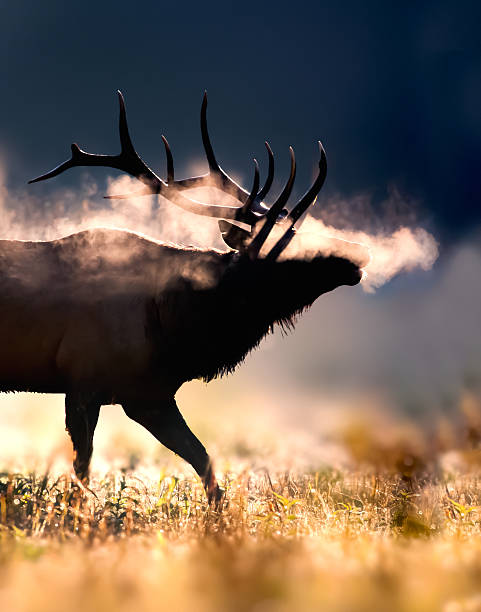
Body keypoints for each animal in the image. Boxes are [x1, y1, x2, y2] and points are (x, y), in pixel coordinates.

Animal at [1, 91, 368, 502]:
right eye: (287, 247)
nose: (359, 252)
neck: (176, 328)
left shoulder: (150, 393)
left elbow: (203, 460)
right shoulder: (83, 380)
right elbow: (83, 469)